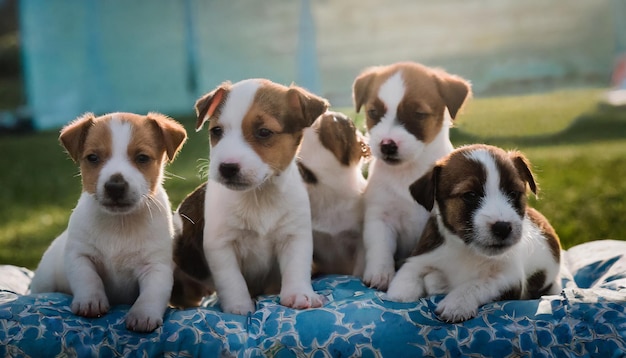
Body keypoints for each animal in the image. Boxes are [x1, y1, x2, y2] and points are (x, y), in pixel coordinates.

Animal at [29, 112, 185, 332]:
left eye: (142, 158)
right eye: (93, 158)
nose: (115, 186)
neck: (119, 223)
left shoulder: (156, 267)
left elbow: (152, 294)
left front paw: (143, 316)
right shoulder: (80, 256)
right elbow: (88, 279)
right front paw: (91, 302)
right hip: (44, 281)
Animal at [354, 61, 470, 290]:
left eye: (418, 114)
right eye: (373, 112)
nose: (387, 145)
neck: (407, 172)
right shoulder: (380, 217)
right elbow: (379, 248)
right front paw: (380, 274)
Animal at [386, 144, 560, 324]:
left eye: (513, 193)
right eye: (470, 195)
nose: (503, 227)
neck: (465, 249)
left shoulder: (510, 278)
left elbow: (476, 284)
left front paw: (456, 303)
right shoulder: (419, 259)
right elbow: (404, 280)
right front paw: (401, 296)